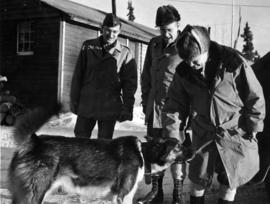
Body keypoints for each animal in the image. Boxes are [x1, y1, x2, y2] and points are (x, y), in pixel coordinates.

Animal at [7, 103, 194, 204]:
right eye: (178, 146)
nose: (193, 151)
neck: (143, 153)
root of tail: (34, 141)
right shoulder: (122, 195)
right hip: (35, 193)